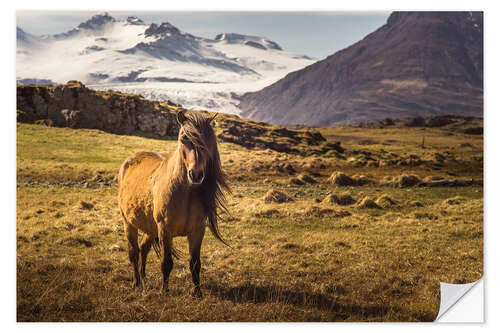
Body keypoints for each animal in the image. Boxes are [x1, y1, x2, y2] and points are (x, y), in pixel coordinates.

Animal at [117, 109, 229, 296]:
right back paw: (137, 283)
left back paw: (144, 279)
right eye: (183, 138)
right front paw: (165, 291)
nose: (196, 175)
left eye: (208, 139)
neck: (185, 193)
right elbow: (166, 263)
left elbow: (195, 264)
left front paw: (197, 292)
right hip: (129, 223)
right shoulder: (165, 229)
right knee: (133, 252)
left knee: (143, 249)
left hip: (150, 228)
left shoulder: (197, 231)